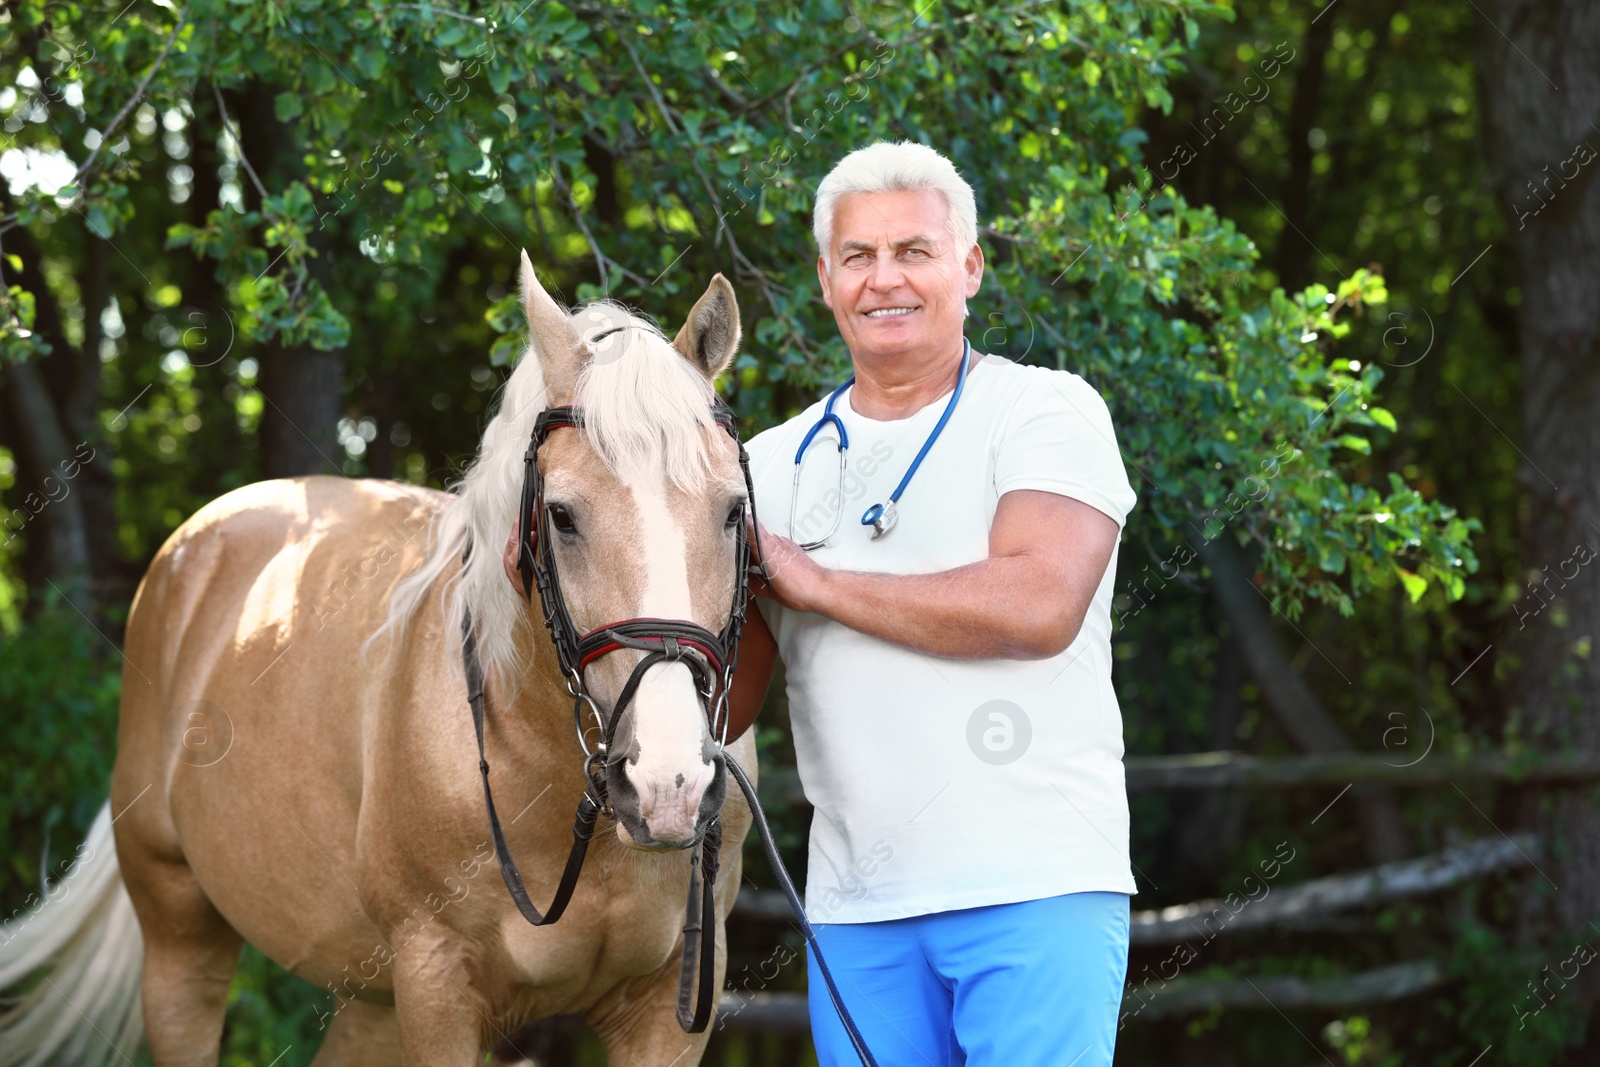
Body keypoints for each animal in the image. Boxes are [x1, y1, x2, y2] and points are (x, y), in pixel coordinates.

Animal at [0, 259, 758, 1067]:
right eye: (561, 515)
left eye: (732, 510)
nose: (667, 784)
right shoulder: (435, 983)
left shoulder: (665, 1005)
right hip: (182, 938)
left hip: (367, 997)